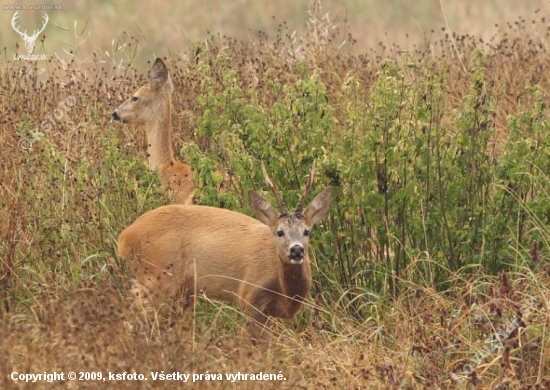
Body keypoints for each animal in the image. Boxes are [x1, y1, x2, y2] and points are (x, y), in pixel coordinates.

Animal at [119, 163, 334, 340]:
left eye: (307, 231)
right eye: (280, 232)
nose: (296, 250)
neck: (284, 290)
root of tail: (124, 237)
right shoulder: (250, 297)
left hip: (181, 290)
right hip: (159, 277)